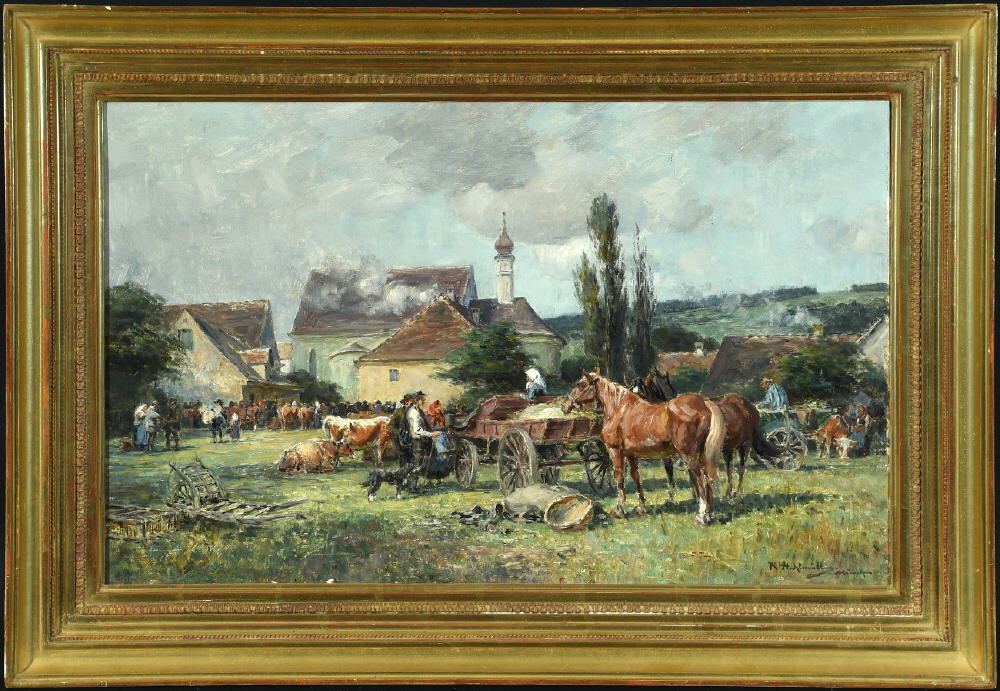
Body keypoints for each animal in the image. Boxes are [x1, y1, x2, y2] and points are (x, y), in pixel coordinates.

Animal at [563, 371, 726, 525]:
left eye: (579, 384)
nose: (565, 405)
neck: (619, 409)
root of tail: (704, 402)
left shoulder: (615, 451)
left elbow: (619, 477)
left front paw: (620, 509)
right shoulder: (631, 454)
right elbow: (636, 477)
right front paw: (641, 507)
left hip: (689, 455)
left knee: (701, 481)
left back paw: (701, 517)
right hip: (702, 454)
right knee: (708, 480)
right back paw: (710, 515)